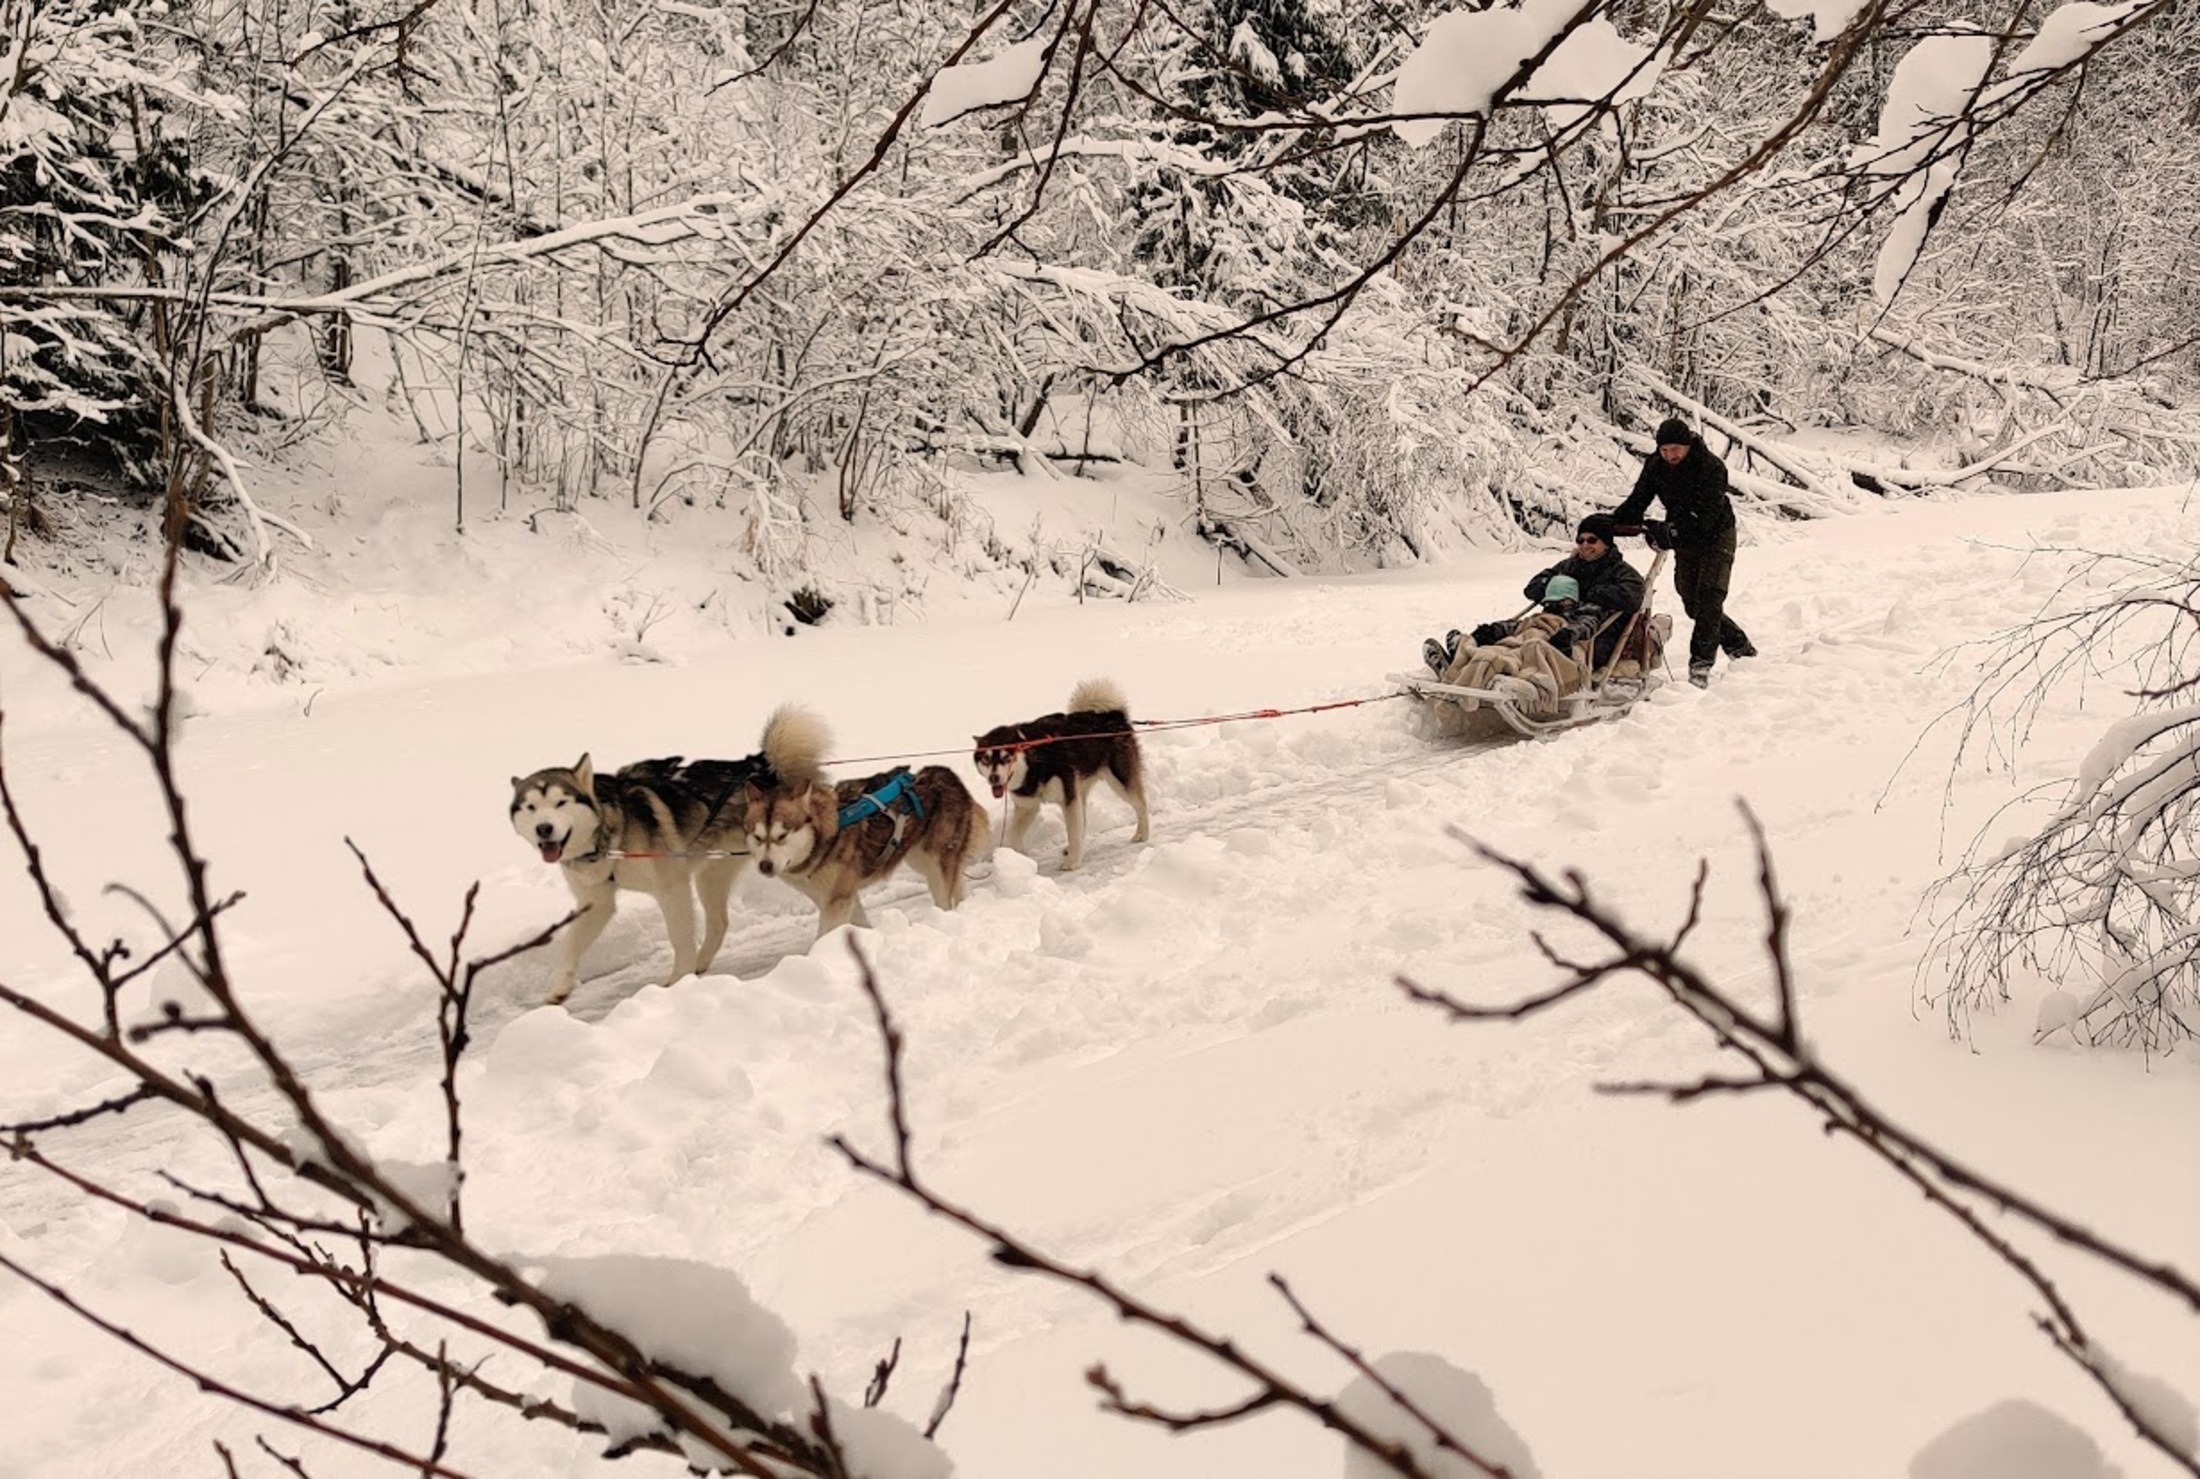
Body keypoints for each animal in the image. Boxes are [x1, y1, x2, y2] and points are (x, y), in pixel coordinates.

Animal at [510, 704, 827, 1003]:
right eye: (531, 807)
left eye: (561, 802)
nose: (544, 829)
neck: (612, 830)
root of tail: (760, 764)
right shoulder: (596, 901)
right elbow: (571, 944)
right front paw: (559, 988)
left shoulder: (672, 888)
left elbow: (679, 936)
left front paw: (679, 981)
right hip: (714, 875)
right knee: (719, 923)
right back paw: (702, 962)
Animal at [748, 761, 990, 937]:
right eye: (758, 837)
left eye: (782, 836)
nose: (765, 865)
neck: (827, 835)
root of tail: (944, 773)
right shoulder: (837, 897)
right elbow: (860, 923)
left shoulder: (838, 900)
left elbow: (825, 935)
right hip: (923, 860)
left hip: (936, 865)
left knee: (944, 900)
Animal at [976, 677, 1152, 871]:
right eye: (986, 759)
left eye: (1006, 757)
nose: (994, 778)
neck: (1036, 758)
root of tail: (1112, 715)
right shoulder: (1027, 805)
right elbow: (1012, 835)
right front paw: (1017, 859)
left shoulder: (1068, 798)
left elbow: (1073, 831)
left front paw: (1073, 862)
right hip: (1081, 787)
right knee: (1083, 820)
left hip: (1119, 781)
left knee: (1141, 804)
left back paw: (1142, 833)